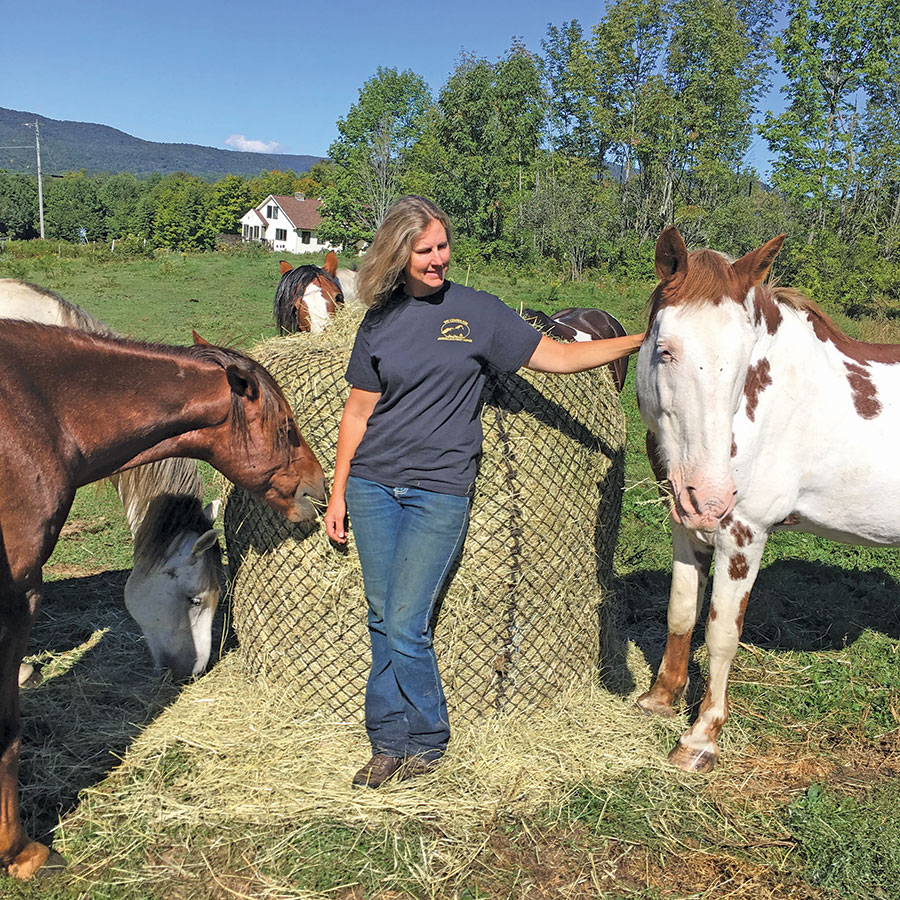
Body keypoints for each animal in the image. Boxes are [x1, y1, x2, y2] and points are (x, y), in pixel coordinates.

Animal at [636, 225, 900, 772]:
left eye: (744, 360)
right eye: (665, 350)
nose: (710, 496)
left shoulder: (743, 534)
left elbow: (720, 634)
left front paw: (700, 739)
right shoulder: (684, 525)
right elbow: (681, 612)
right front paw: (660, 699)